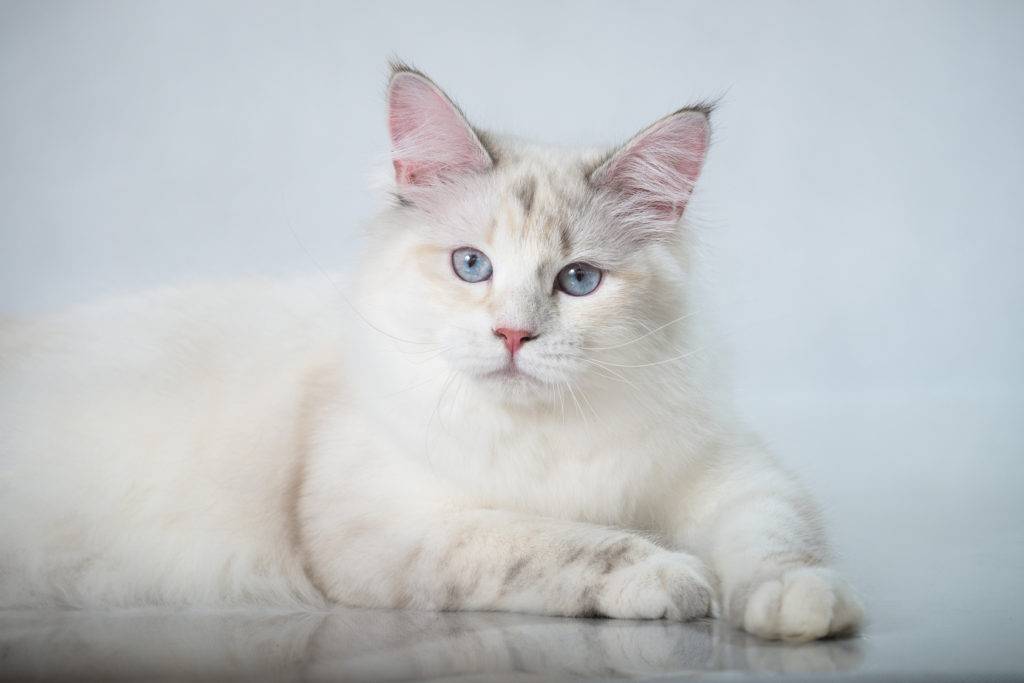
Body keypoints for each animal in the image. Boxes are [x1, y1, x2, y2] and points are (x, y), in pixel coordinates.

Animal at [0, 62, 864, 643]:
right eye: (471, 266)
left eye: (578, 280)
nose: (514, 335)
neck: (541, 438)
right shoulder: (393, 527)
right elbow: (549, 540)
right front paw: (664, 574)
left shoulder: (732, 475)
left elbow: (780, 541)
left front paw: (801, 607)